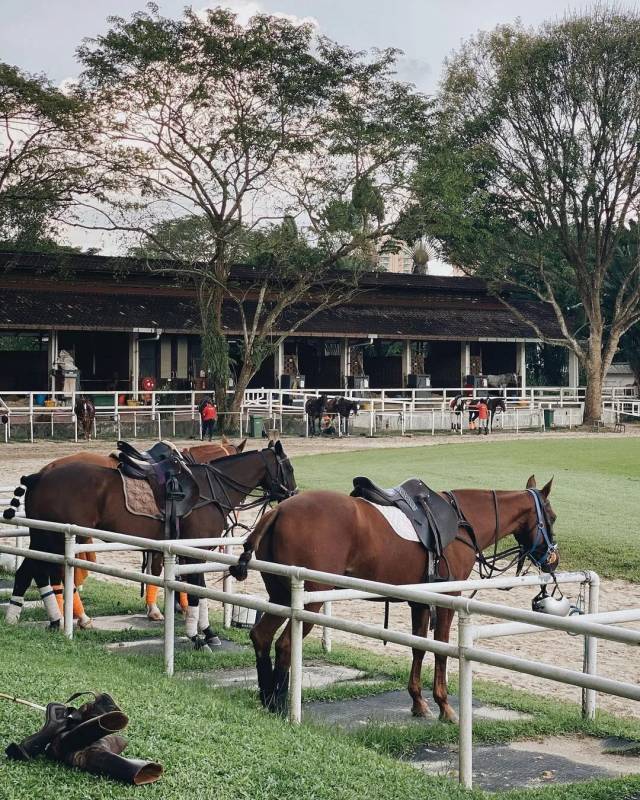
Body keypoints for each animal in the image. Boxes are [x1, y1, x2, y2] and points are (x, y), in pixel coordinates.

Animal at [6, 440, 296, 648]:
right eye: (290, 468)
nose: (293, 495)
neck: (207, 488)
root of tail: (39, 475)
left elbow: (189, 586)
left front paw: (199, 629)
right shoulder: (196, 551)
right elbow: (196, 591)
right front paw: (199, 634)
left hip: (43, 536)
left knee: (31, 572)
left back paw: (42, 619)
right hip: (56, 537)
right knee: (46, 573)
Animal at [229, 476, 556, 720]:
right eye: (552, 517)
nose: (553, 559)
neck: (463, 522)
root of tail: (278, 511)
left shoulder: (419, 602)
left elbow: (419, 649)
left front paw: (418, 702)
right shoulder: (447, 599)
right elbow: (440, 650)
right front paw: (444, 705)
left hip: (281, 596)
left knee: (261, 636)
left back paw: (267, 698)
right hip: (309, 600)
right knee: (285, 645)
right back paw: (280, 703)